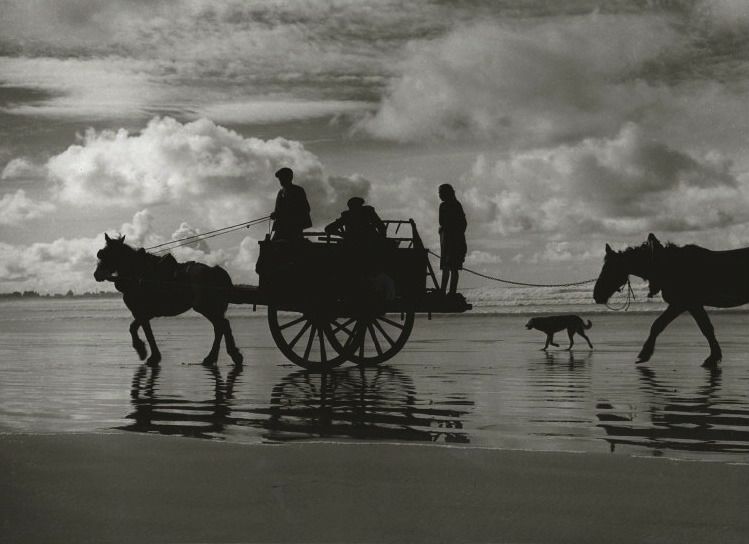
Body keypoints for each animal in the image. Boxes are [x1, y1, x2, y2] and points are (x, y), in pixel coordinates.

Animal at [90, 233, 243, 366]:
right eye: (100, 253)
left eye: (107, 254)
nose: (97, 274)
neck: (139, 274)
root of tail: (216, 271)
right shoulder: (144, 314)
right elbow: (142, 330)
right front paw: (150, 354)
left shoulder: (142, 312)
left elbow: (139, 330)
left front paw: (144, 352)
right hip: (211, 308)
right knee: (220, 327)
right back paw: (216, 357)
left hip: (205, 307)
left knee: (222, 325)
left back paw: (225, 356)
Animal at [592, 232, 744, 368]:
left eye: (609, 269)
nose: (596, 294)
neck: (668, 265)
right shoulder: (686, 305)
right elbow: (661, 325)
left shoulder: (685, 304)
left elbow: (702, 328)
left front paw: (644, 353)